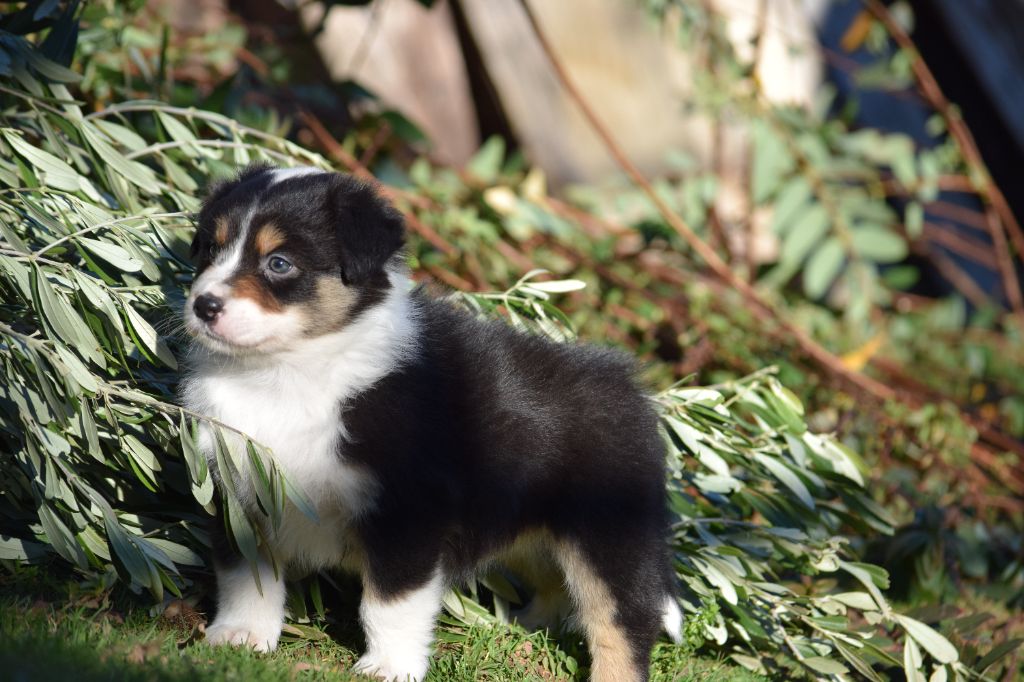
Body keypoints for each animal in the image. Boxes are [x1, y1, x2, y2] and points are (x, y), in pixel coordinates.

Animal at [180, 165, 682, 681]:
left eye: (279, 263)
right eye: (212, 250)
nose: (204, 306)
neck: (286, 374)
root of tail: (631, 389)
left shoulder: (409, 512)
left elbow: (390, 604)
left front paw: (388, 667)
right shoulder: (239, 487)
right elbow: (246, 574)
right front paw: (240, 638)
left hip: (608, 529)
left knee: (622, 617)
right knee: (554, 583)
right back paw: (521, 628)